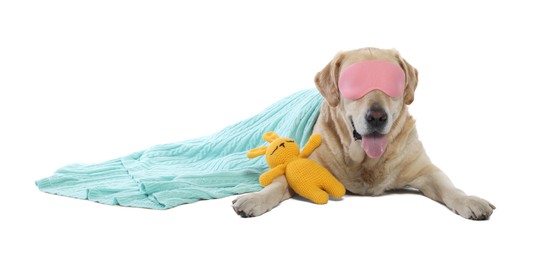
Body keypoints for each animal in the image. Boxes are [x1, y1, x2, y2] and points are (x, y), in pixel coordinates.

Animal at [233, 47, 494, 220]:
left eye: (392, 82)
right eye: (354, 83)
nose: (377, 117)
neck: (365, 162)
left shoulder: (425, 170)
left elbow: (449, 187)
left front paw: (470, 200)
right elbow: (278, 183)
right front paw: (254, 198)